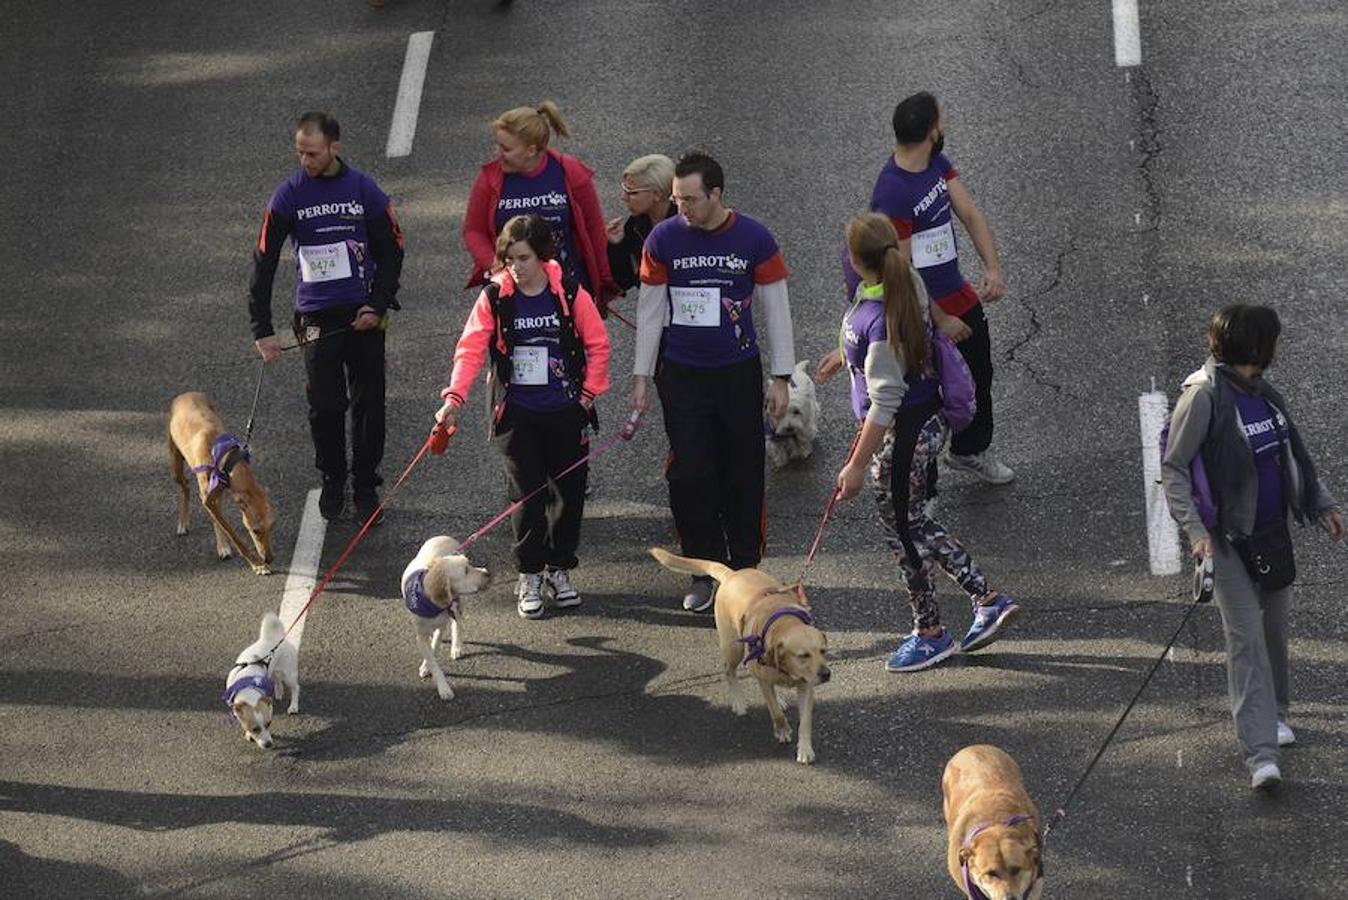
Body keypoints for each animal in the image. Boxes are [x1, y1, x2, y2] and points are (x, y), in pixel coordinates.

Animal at [167, 390, 273, 573]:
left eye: (272, 526)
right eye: (255, 531)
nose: (270, 559)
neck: (224, 457)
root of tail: (186, 394)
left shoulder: (217, 493)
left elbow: (221, 522)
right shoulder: (207, 498)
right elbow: (231, 533)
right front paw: (256, 564)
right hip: (176, 466)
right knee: (185, 485)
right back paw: (183, 523)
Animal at [223, 611, 300, 754]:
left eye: (269, 724)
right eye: (255, 729)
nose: (269, 744)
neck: (248, 688)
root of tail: (276, 637)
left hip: (289, 674)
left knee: (296, 688)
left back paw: (293, 706)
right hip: (274, 670)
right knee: (277, 679)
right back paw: (278, 692)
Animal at [401, 538, 493, 700]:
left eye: (469, 564)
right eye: (466, 571)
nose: (487, 573)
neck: (431, 602)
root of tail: (444, 536)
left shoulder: (441, 626)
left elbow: (434, 647)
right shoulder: (420, 636)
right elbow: (431, 657)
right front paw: (439, 681)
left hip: (459, 602)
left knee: (457, 624)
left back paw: (456, 647)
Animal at [647, 544, 824, 765]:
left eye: (823, 651)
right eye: (803, 655)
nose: (826, 674)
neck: (783, 622)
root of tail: (731, 574)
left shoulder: (806, 686)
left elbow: (805, 722)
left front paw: (805, 749)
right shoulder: (766, 678)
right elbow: (774, 712)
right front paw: (782, 730)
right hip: (733, 648)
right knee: (729, 670)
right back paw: (739, 702)